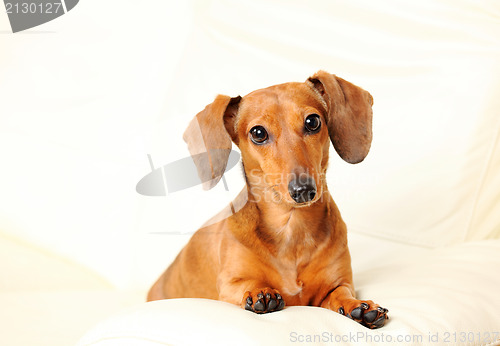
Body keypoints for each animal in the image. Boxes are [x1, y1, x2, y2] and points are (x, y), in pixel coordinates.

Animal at [146, 71, 388, 330]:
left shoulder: (339, 283)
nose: (304, 190)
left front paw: (358, 306)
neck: (292, 227)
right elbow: (247, 285)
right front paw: (260, 293)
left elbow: (341, 294)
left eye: (313, 122)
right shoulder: (229, 286)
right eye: (258, 133)